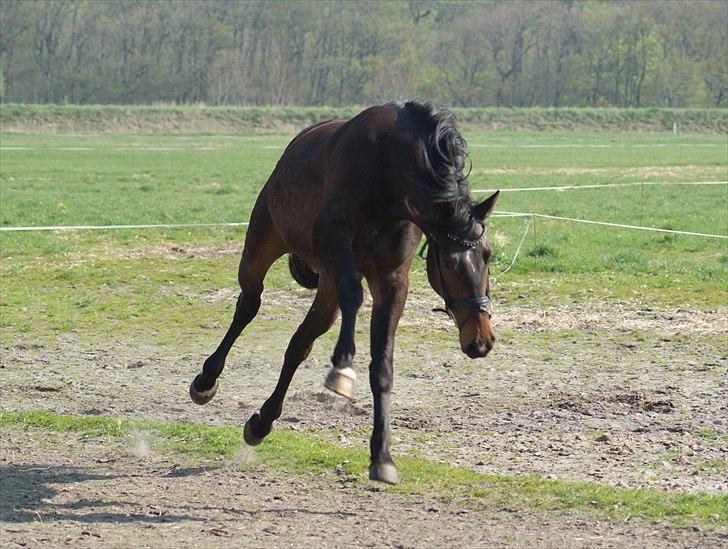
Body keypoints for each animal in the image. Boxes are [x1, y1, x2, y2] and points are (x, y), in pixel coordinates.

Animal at [189, 99, 500, 484]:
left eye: (487, 255)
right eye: (451, 262)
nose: (481, 340)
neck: (389, 177)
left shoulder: (391, 281)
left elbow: (382, 366)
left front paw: (382, 456)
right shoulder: (336, 246)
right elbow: (354, 295)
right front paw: (342, 370)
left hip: (325, 285)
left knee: (300, 343)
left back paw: (262, 421)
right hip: (264, 244)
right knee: (249, 305)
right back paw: (206, 380)